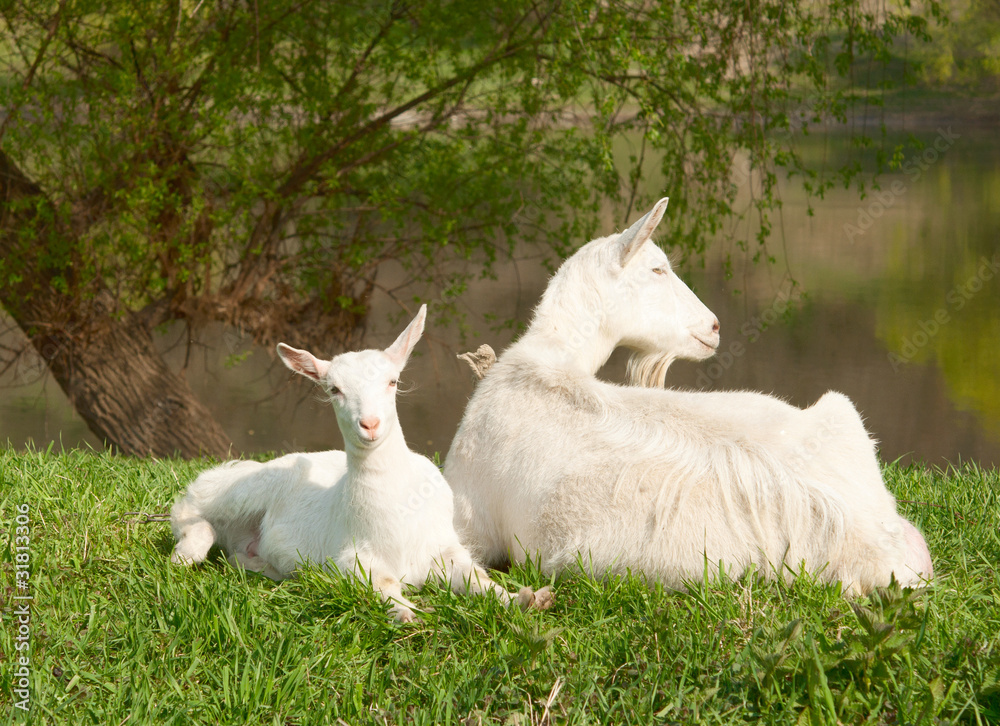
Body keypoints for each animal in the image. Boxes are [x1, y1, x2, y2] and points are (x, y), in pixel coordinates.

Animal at [171, 305, 553, 622]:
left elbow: (477, 577)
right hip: (241, 488)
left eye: (393, 381)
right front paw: (411, 613)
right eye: (333, 389)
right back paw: (187, 552)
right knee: (187, 507)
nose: (369, 424)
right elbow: (383, 584)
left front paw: (527, 598)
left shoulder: (443, 545)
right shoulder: (350, 557)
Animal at [444, 198, 933, 595]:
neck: (548, 360)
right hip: (840, 411)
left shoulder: (465, 508)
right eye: (657, 269)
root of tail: (882, 549)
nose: (714, 326)